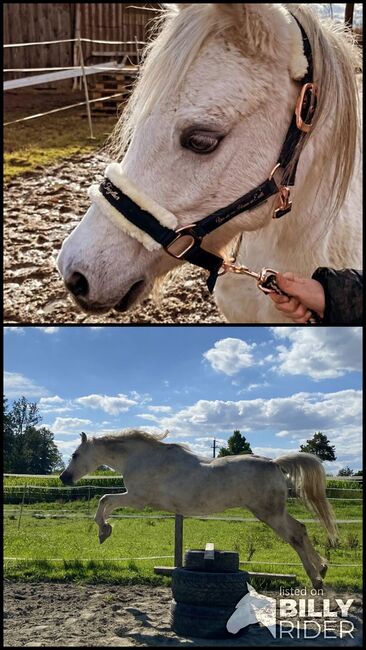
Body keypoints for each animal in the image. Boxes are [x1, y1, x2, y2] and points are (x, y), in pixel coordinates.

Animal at [60, 428, 338, 588]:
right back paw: (322, 569)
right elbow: (106, 503)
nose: (63, 478)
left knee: (295, 536)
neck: (142, 458)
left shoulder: (137, 498)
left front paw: (103, 531)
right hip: (273, 512)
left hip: (269, 514)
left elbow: (104, 500)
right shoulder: (134, 498)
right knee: (301, 530)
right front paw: (105, 531)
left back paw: (316, 579)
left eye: (75, 455)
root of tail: (274, 463)